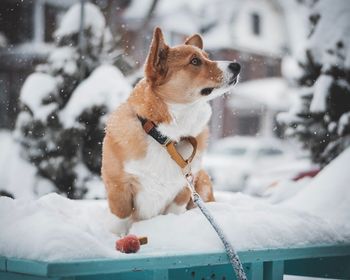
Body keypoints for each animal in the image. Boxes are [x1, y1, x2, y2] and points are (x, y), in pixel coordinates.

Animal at [101, 26, 241, 229]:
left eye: (207, 56)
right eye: (195, 61)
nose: (237, 66)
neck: (166, 137)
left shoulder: (183, 189)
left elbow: (175, 211)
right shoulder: (118, 187)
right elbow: (120, 219)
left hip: (203, 181)